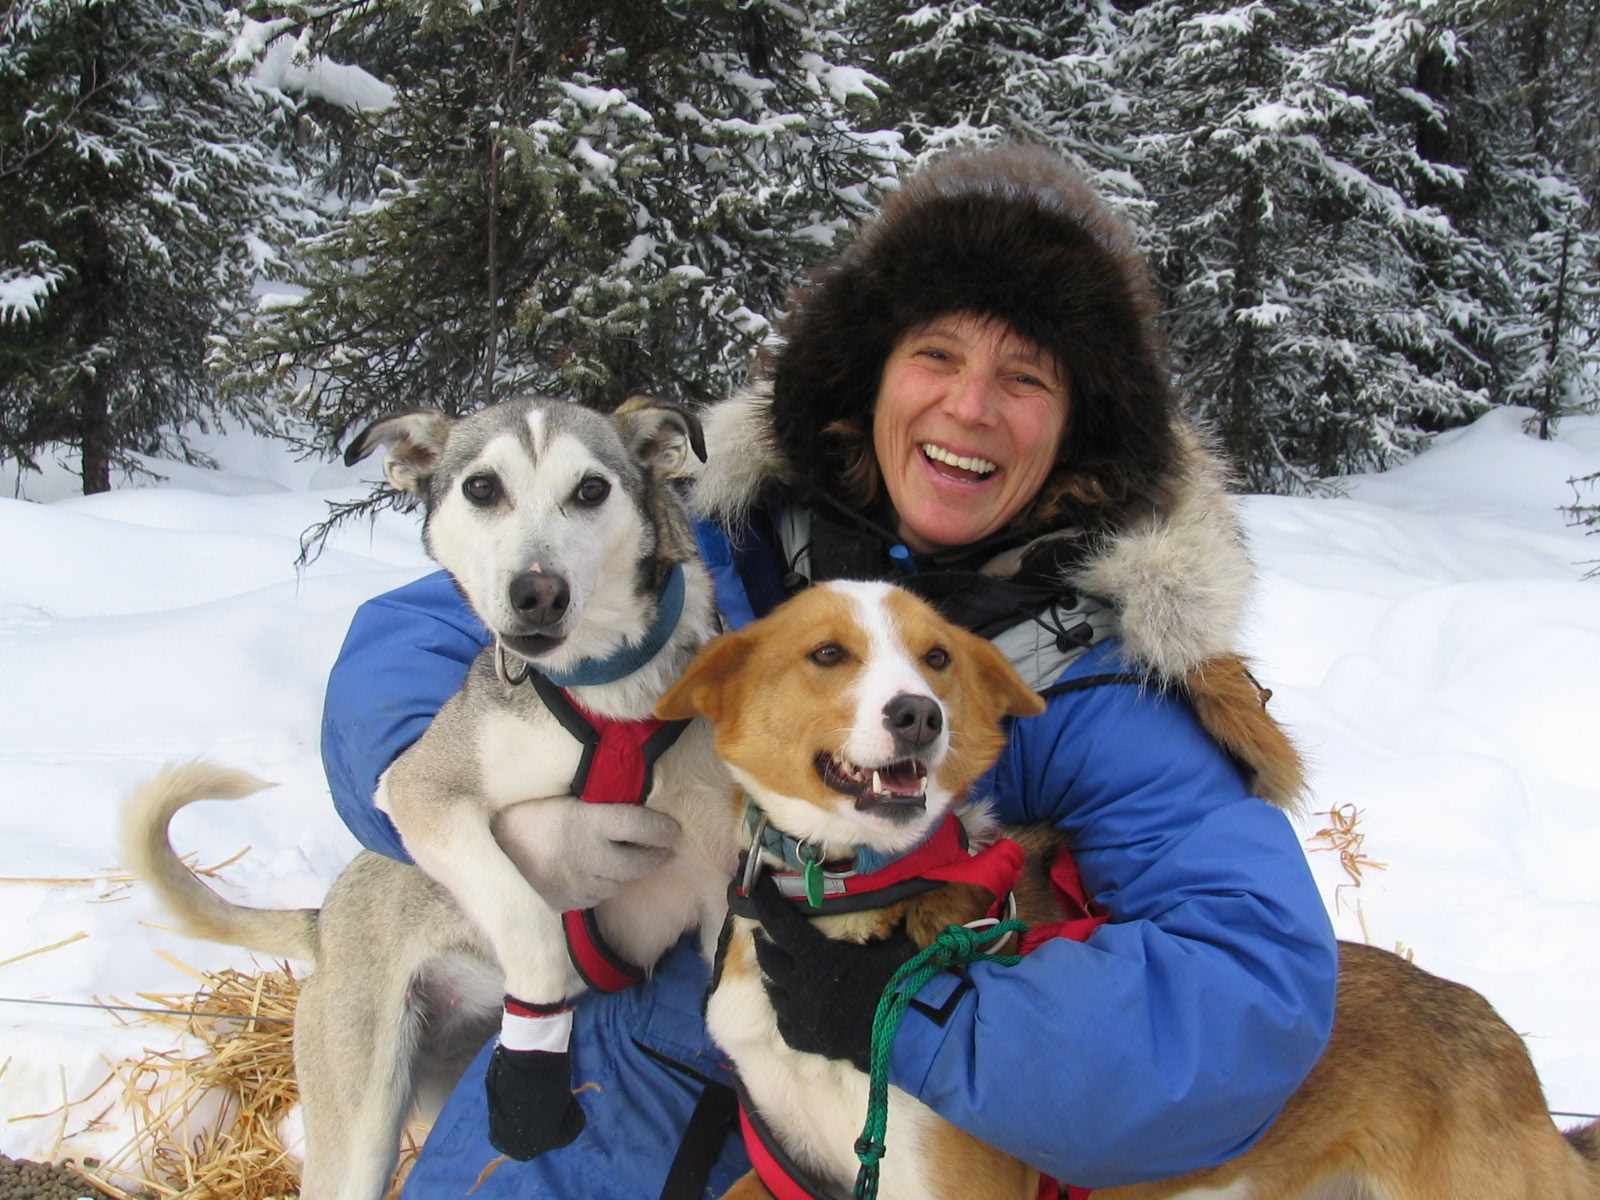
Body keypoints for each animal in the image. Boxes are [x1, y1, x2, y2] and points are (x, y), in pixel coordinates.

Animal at [123, 400, 736, 1200]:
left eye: (591, 490)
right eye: (481, 488)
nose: (538, 591)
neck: (612, 702)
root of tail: (326, 923)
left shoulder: (726, 888)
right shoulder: (421, 793)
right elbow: (531, 924)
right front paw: (535, 1060)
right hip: (360, 1126)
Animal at [652, 582, 1600, 1200]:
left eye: (937, 658)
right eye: (826, 654)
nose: (920, 715)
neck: (841, 911)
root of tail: (1511, 1054)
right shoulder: (793, 1170)